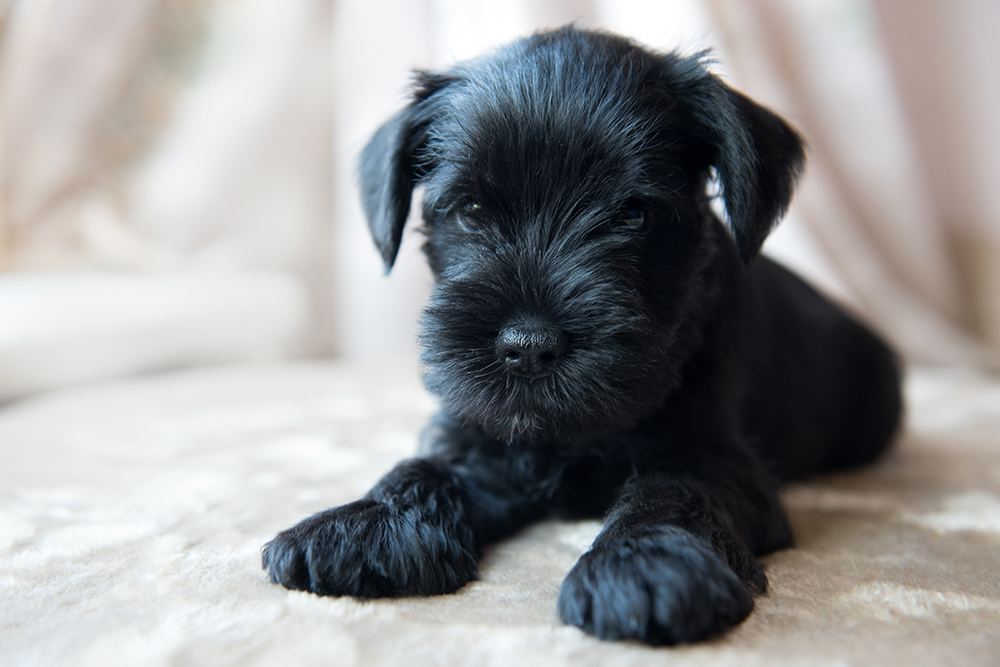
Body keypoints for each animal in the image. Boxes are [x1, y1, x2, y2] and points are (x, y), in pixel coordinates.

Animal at [262, 27, 904, 648]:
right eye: (470, 210)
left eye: (633, 215)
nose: (527, 347)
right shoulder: (480, 430)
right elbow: (425, 469)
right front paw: (365, 523)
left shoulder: (719, 459)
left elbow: (673, 492)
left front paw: (642, 568)